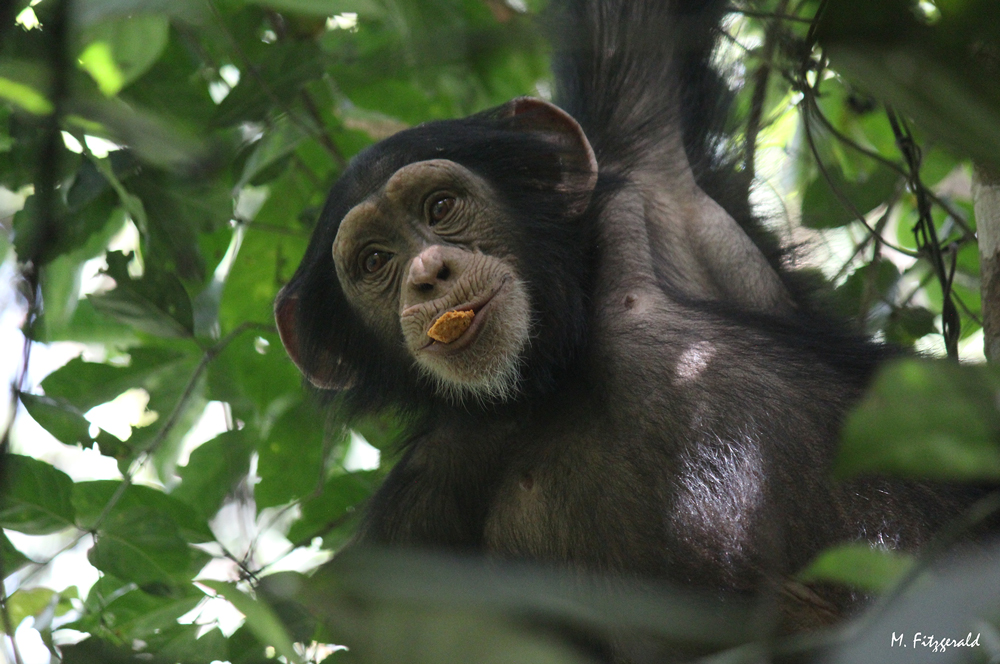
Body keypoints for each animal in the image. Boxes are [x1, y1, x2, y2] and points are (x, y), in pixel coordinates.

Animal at [274, 0, 968, 648]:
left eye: (440, 206)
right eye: (374, 261)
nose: (427, 273)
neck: (552, 375)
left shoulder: (643, 162)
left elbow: (632, 33)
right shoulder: (411, 529)